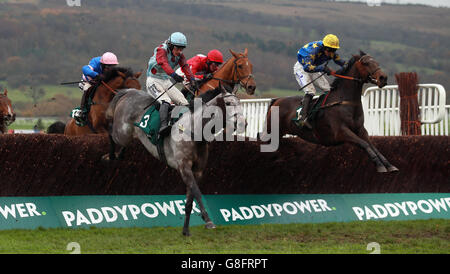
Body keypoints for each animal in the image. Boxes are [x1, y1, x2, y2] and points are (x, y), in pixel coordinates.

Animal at [104, 86, 246, 235]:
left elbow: (190, 200)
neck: (195, 130)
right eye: (228, 103)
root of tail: (130, 91)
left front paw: (186, 231)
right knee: (110, 130)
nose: (244, 124)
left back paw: (119, 155)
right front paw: (208, 221)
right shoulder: (184, 168)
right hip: (122, 133)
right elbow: (197, 193)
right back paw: (110, 155)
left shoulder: (197, 171)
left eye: (240, 103)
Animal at [264, 50, 398, 173]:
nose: (383, 78)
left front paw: (389, 165)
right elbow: (364, 144)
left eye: (377, 62)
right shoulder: (341, 132)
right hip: (273, 133)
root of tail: (277, 100)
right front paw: (380, 165)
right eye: (366, 63)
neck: (344, 100)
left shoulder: (361, 129)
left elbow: (372, 146)